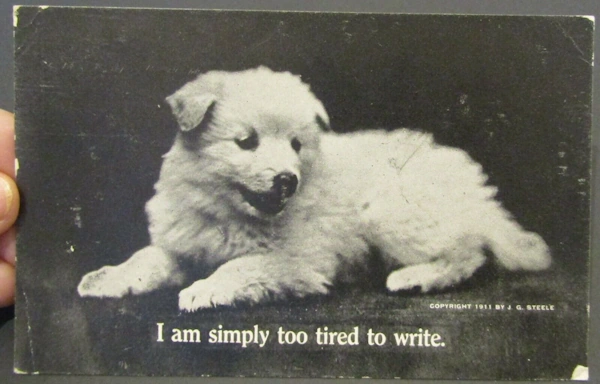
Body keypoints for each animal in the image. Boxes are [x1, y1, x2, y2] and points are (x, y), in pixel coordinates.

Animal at [77, 67, 552, 312]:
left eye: (295, 145)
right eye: (246, 142)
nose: (288, 179)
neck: (228, 211)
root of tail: (476, 192)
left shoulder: (299, 260)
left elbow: (242, 266)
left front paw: (205, 289)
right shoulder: (182, 244)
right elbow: (145, 258)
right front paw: (107, 277)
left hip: (393, 213)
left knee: (469, 251)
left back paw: (415, 277)